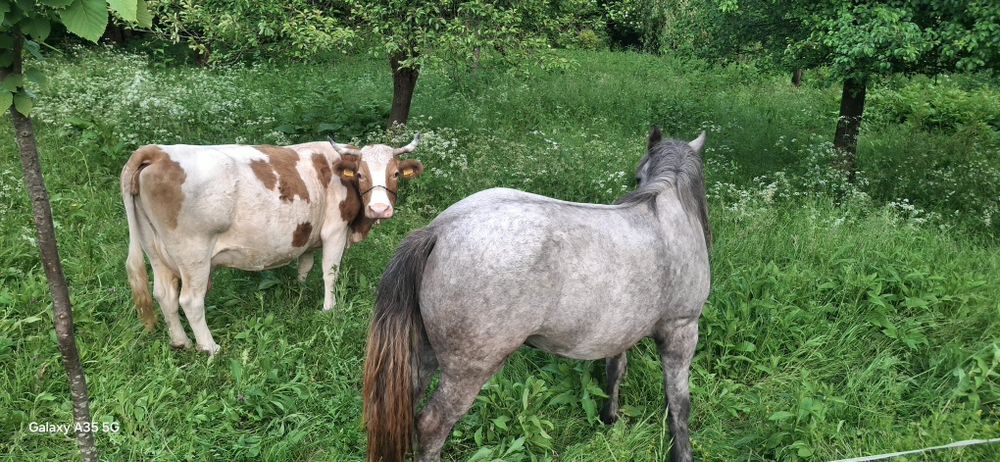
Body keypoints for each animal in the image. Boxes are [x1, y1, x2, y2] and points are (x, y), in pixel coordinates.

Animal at [121, 135, 424, 354]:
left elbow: (305, 266)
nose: (380, 208)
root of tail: (157, 152)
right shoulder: (335, 231)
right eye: (361, 175)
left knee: (164, 295)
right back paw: (210, 348)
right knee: (190, 301)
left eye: (396, 174)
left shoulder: (308, 235)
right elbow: (330, 272)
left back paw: (180, 341)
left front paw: (300, 292)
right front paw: (329, 309)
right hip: (193, 254)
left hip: (155, 250)